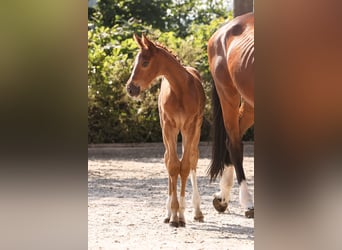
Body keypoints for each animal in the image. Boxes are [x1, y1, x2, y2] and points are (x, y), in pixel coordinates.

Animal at [126, 33, 204, 227]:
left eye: (145, 62)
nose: (130, 88)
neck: (180, 89)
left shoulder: (190, 127)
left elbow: (185, 165)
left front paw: (182, 214)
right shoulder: (169, 127)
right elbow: (173, 165)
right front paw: (174, 214)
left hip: (195, 130)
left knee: (193, 159)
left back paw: (197, 211)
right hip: (167, 130)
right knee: (168, 159)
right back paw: (169, 213)